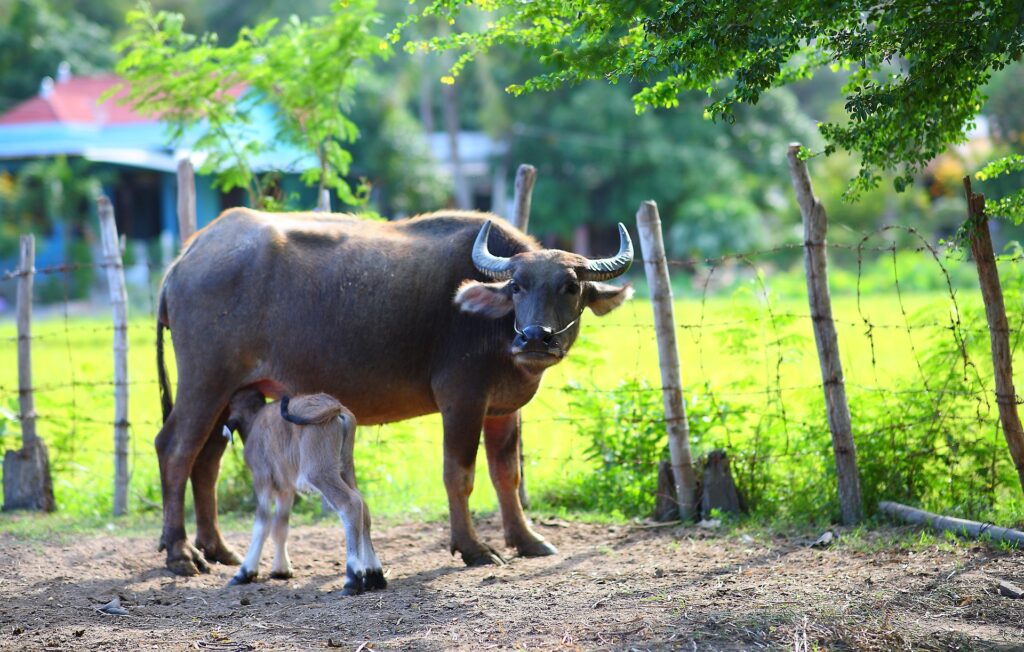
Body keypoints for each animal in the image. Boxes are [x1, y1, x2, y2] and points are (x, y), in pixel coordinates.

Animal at [224, 388, 385, 593]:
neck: (256, 419)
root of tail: (335, 406)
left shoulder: (262, 480)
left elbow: (262, 524)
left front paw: (244, 572)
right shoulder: (286, 489)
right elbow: (280, 526)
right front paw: (281, 569)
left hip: (320, 472)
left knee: (351, 505)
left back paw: (352, 578)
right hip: (346, 468)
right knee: (363, 506)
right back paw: (374, 575)